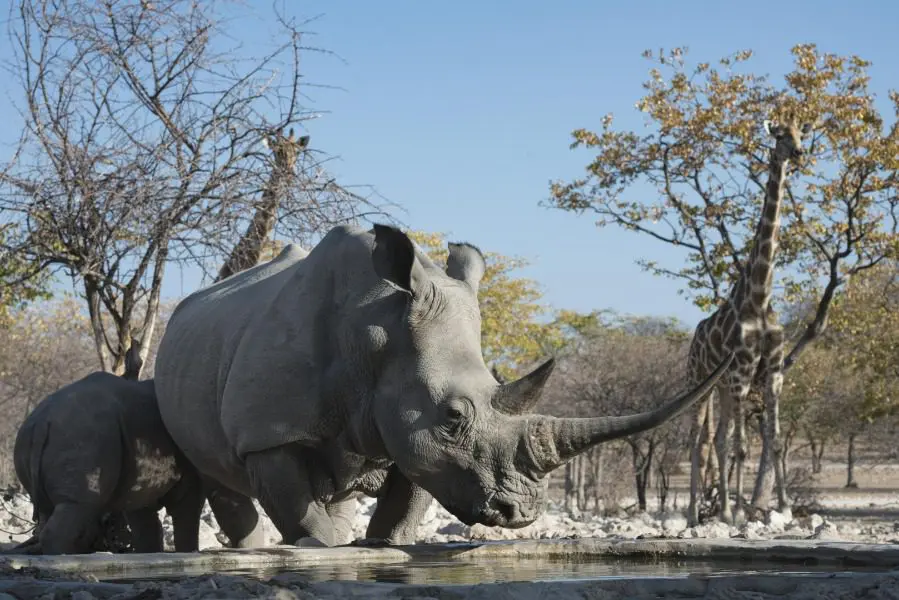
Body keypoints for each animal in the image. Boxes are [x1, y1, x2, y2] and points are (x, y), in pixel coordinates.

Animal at [6, 345, 204, 555]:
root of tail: (41, 422)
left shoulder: (140, 477)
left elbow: (145, 523)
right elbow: (187, 513)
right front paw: (188, 554)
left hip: (29, 440)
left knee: (52, 510)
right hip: (82, 435)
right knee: (78, 506)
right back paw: (62, 557)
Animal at [153, 224, 732, 547]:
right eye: (454, 417)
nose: (520, 514)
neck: (374, 329)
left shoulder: (411, 429)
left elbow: (405, 503)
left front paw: (376, 547)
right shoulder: (269, 432)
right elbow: (296, 508)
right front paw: (318, 550)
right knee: (221, 480)